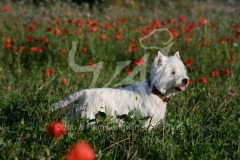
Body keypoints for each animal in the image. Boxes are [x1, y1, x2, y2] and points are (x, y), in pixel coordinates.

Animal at [51, 51, 188, 127]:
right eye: (172, 72)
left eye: (183, 70)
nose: (185, 80)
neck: (155, 92)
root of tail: (83, 93)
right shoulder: (146, 120)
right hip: (91, 117)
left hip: (75, 114)